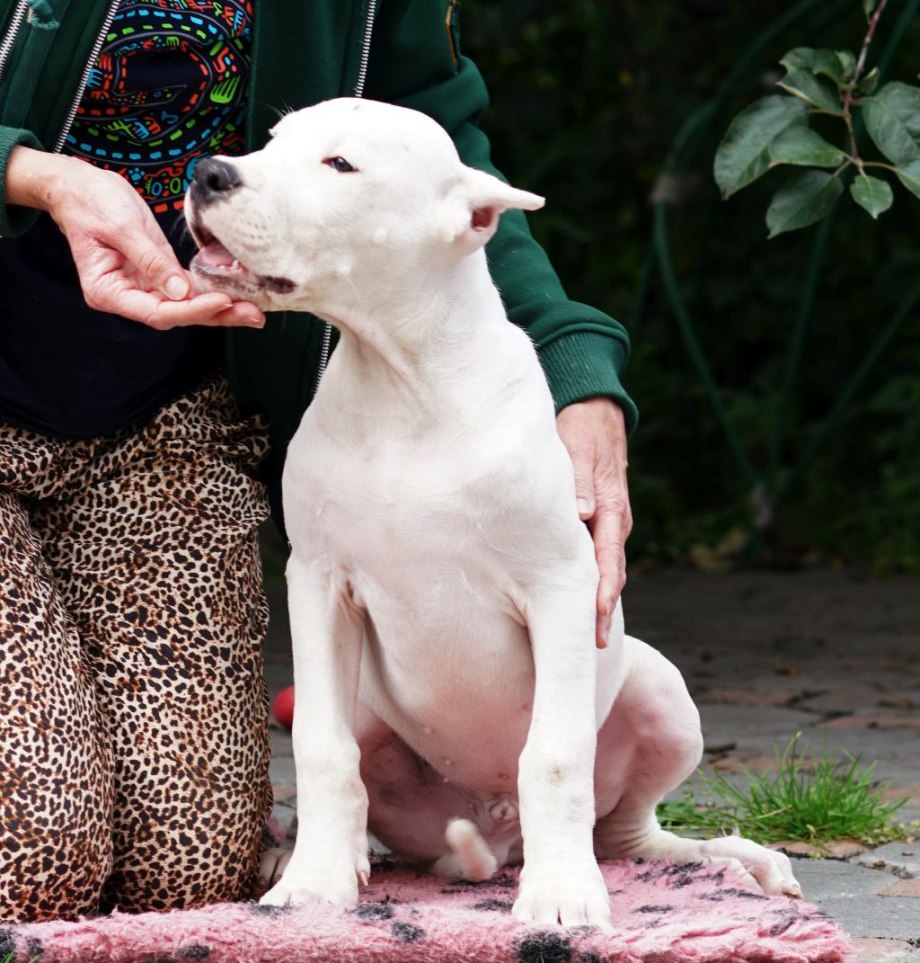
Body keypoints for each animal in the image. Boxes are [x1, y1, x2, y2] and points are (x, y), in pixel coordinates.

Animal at [185, 96, 796, 928]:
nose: (208, 174)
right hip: (378, 709)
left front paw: (563, 897)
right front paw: (313, 884)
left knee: (628, 833)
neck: (402, 384)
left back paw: (729, 860)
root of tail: (497, 836)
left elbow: (555, 754)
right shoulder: (316, 582)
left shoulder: (563, 585)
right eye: (273, 142)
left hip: (661, 691)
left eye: (341, 164)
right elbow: (321, 745)